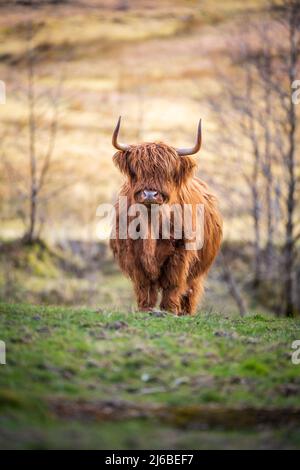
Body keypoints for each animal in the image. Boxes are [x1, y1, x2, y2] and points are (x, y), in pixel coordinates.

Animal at [110, 117, 223, 316]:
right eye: (137, 170)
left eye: (167, 173)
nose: (150, 194)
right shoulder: (132, 254)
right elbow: (144, 285)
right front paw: (145, 309)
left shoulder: (180, 253)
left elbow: (173, 283)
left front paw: (169, 310)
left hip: (198, 272)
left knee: (190, 292)